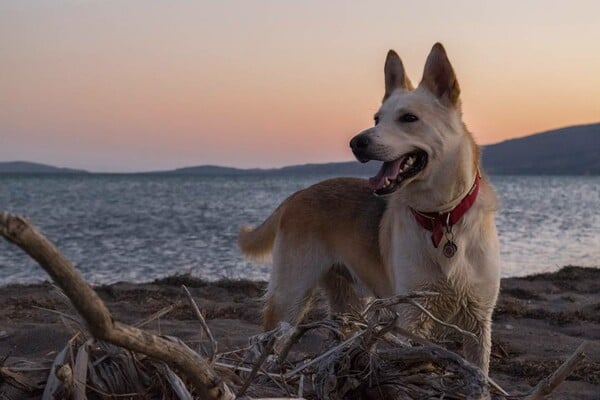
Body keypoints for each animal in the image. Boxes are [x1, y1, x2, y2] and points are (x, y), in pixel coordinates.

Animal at [237, 43, 500, 376]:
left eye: (408, 118)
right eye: (377, 119)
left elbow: (481, 374)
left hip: (347, 302)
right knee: (264, 337)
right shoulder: (413, 315)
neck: (442, 217)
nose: (355, 142)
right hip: (291, 293)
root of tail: (299, 193)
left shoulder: (479, 321)